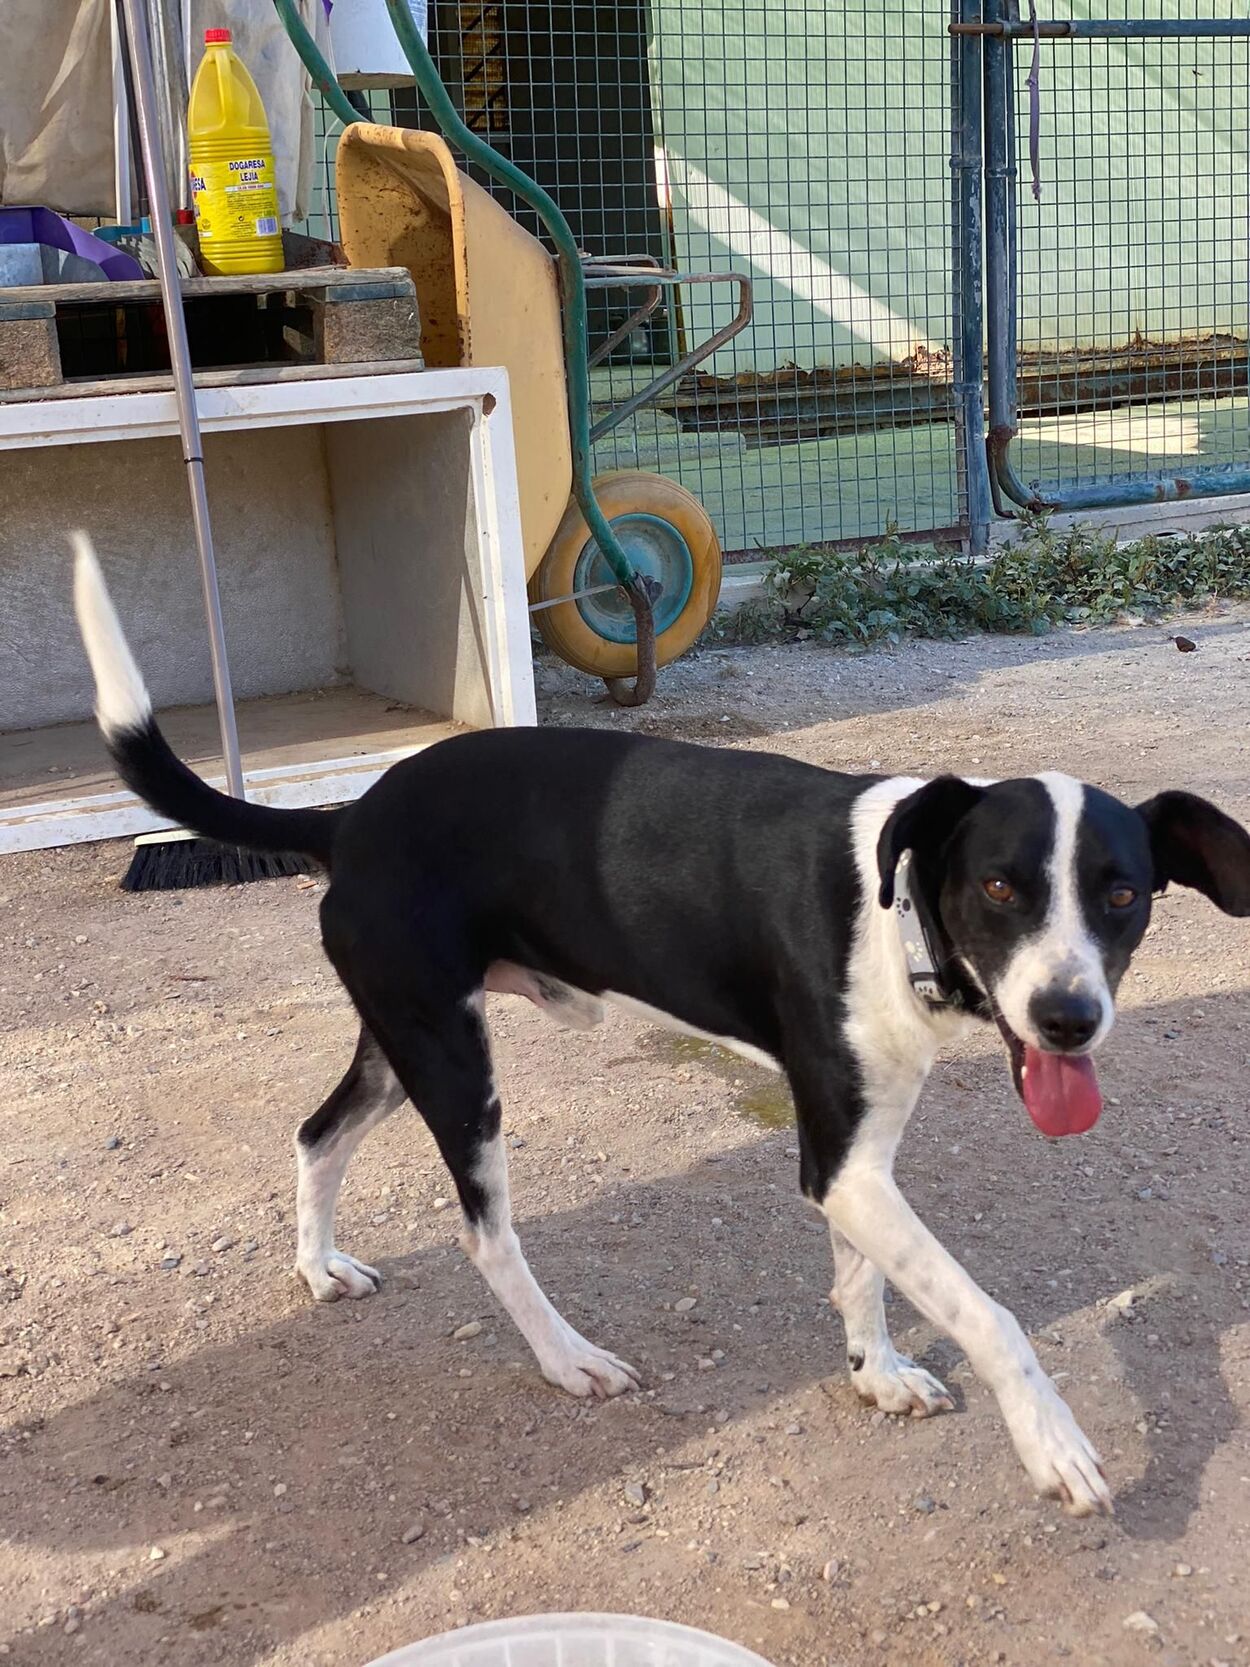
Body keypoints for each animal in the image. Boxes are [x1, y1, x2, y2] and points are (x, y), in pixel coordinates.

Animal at [72, 535, 1250, 1516]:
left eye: (1122, 895)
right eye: (1000, 886)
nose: (1068, 1019)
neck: (899, 899)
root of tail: (350, 813)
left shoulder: (855, 1154)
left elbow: (861, 1273)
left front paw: (875, 1372)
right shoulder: (843, 1157)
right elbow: (988, 1312)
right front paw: (1053, 1442)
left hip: (400, 1038)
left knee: (317, 1133)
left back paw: (318, 1267)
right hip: (454, 1062)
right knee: (484, 1230)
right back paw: (566, 1357)